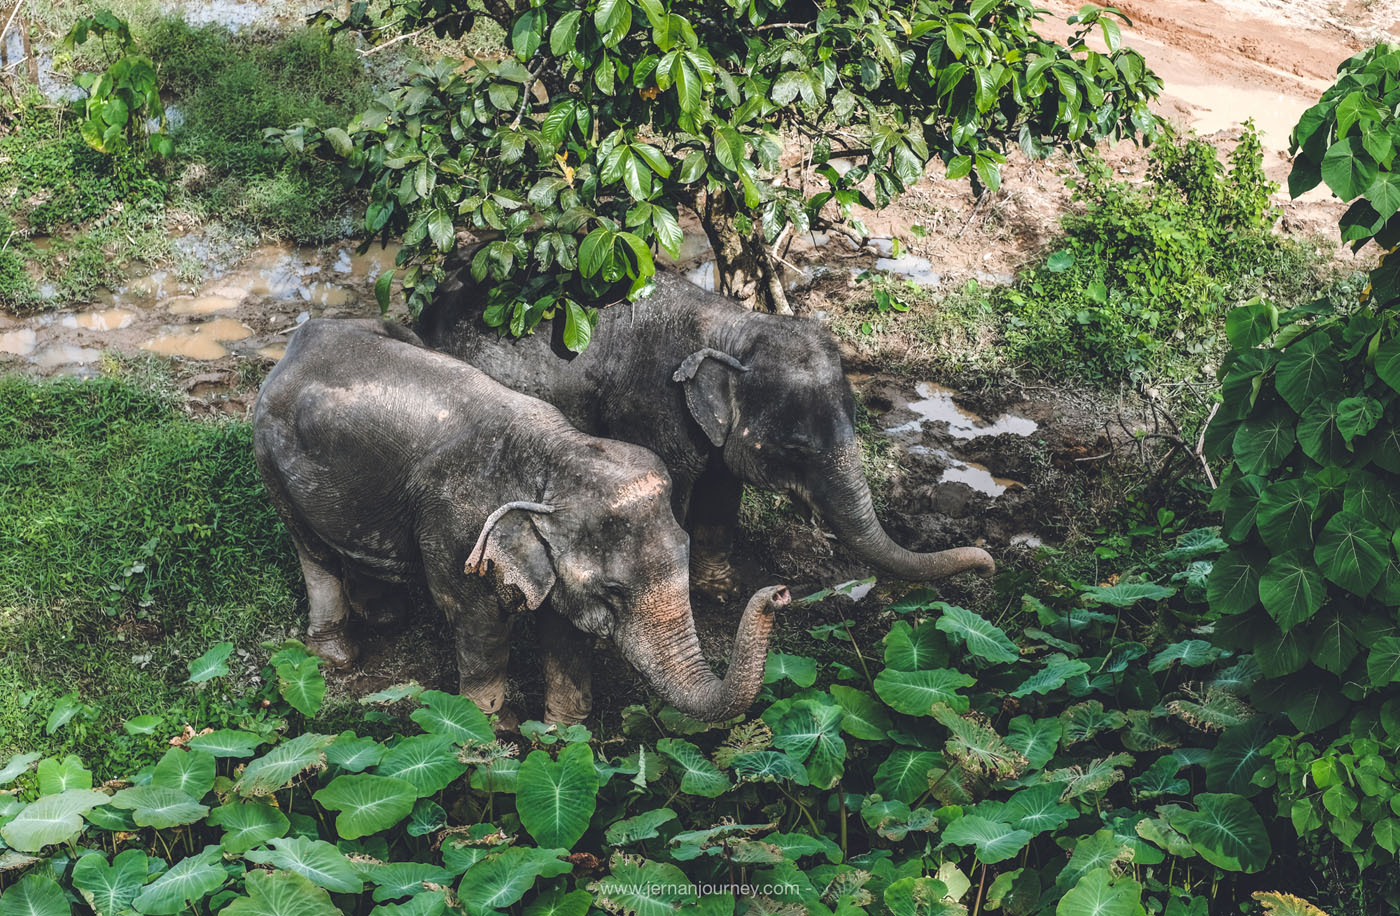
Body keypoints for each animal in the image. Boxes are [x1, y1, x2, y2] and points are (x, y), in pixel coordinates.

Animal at [246, 319, 784, 728]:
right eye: (612, 592)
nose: (779, 593)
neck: (555, 452)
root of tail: (299, 340)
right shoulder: (455, 532)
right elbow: (479, 625)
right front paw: (489, 731)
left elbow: (563, 631)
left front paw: (561, 737)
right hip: (269, 456)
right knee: (311, 551)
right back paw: (338, 654)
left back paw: (384, 615)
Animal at [414, 266, 996, 602]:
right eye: (796, 449)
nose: (987, 560)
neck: (733, 326)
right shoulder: (653, 411)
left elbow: (722, 493)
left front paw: (722, 592)